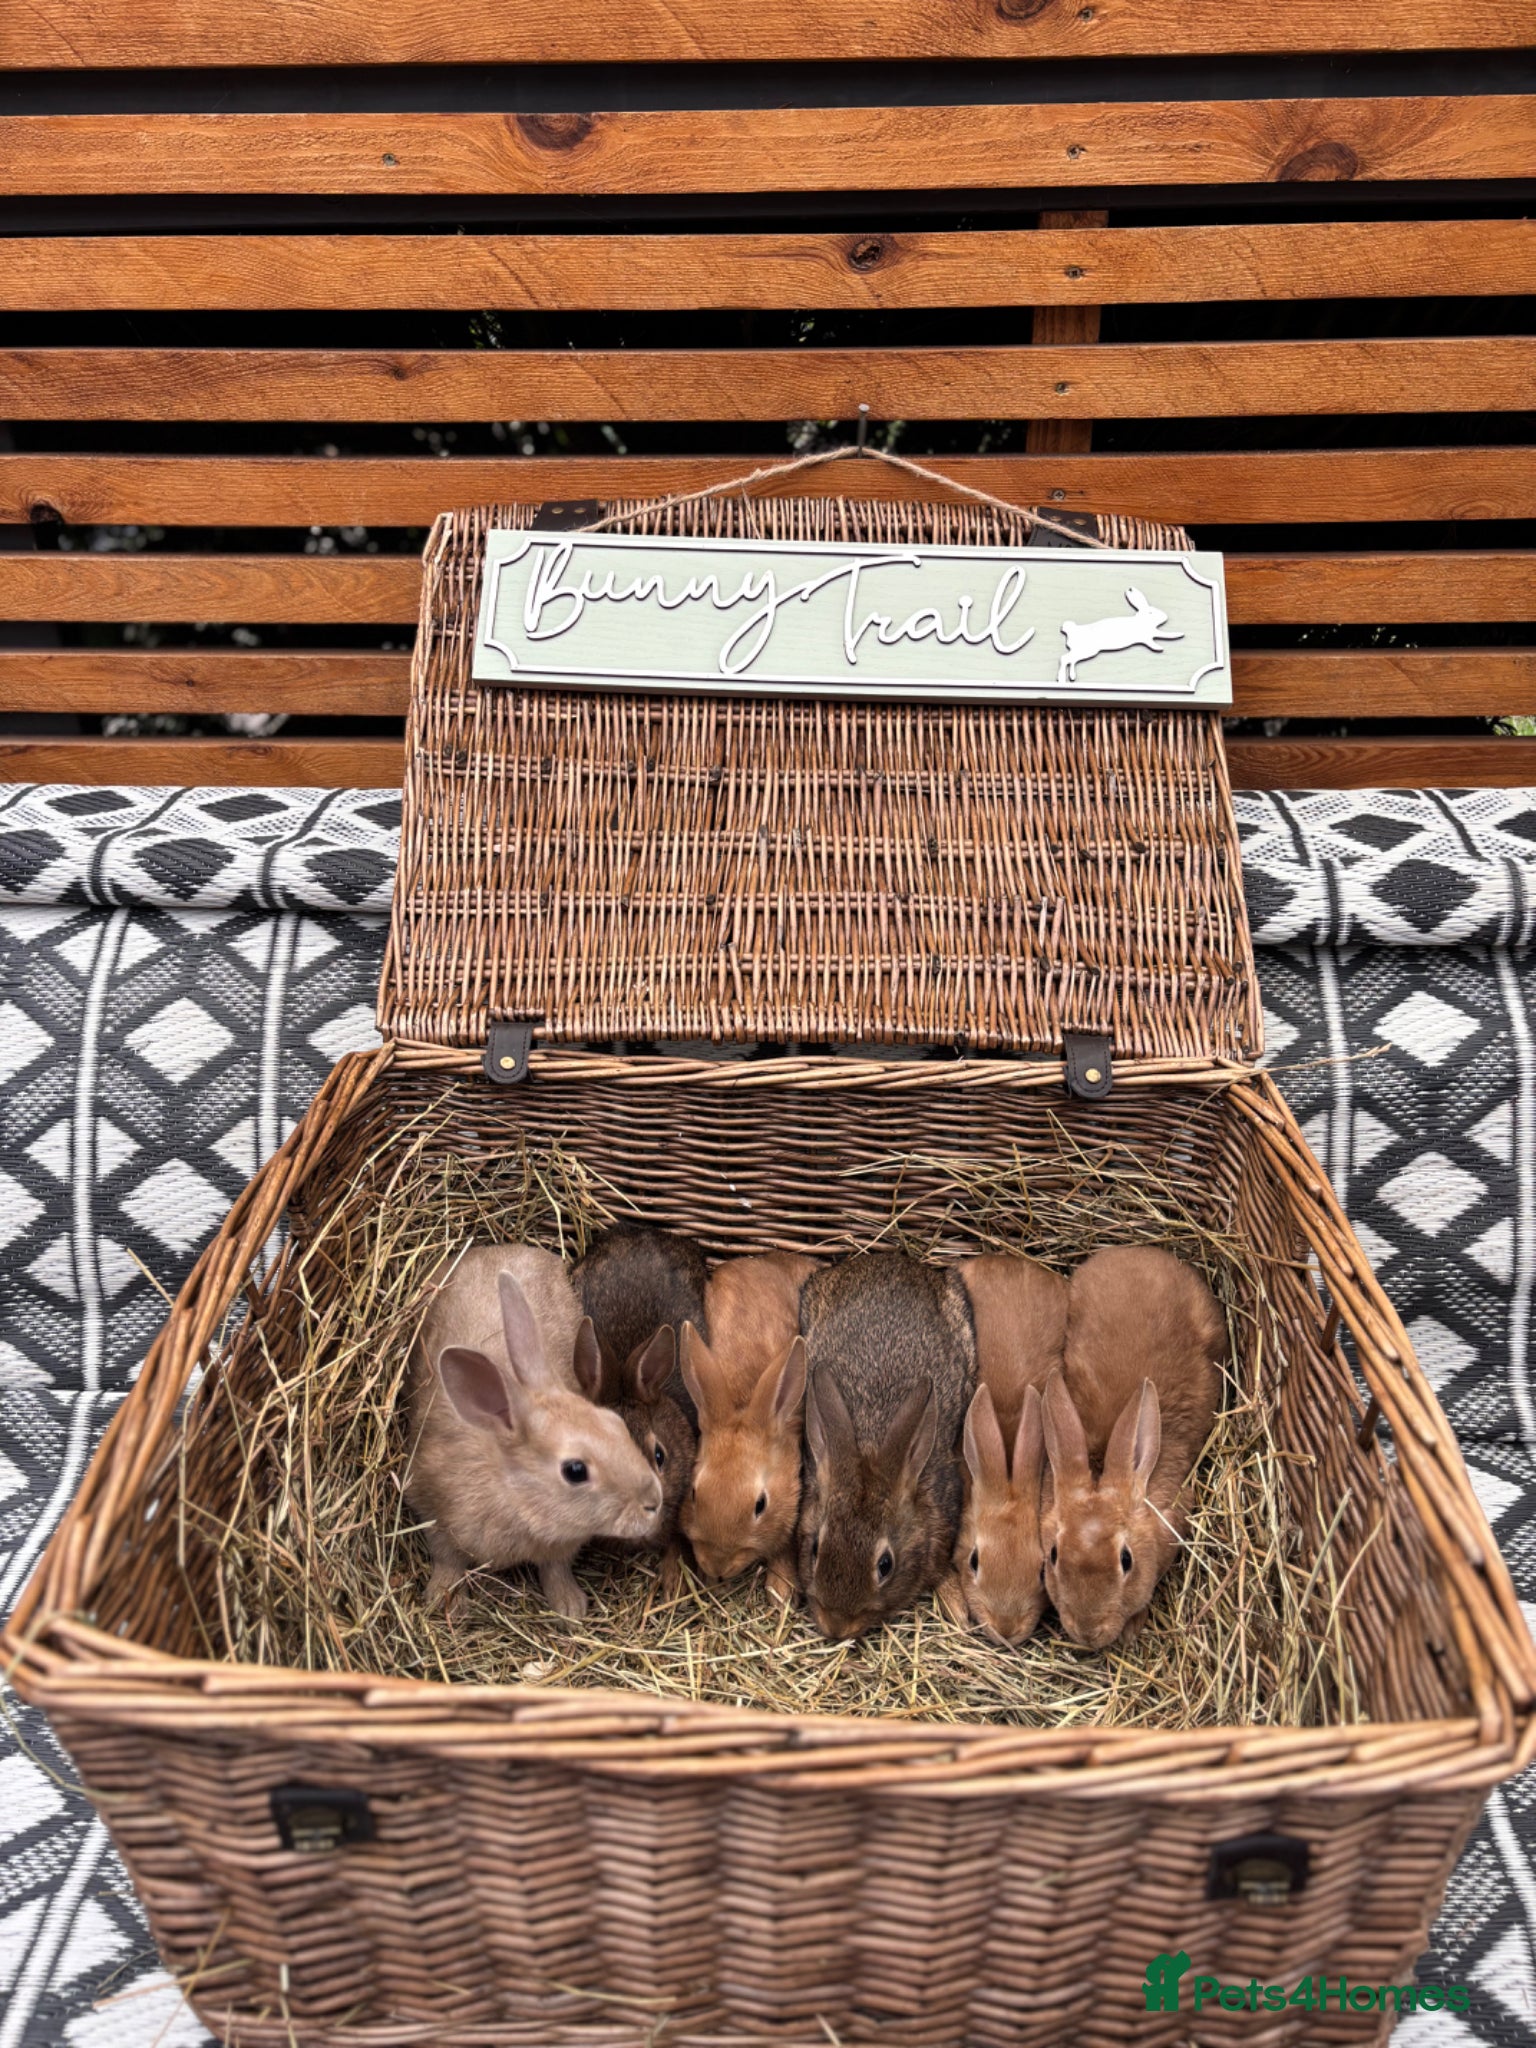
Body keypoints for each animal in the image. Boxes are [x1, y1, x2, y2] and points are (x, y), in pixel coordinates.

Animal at [405, 1244, 663, 1619]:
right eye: (575, 1470)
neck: (516, 1498)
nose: (653, 1501)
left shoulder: (560, 1547)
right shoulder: (433, 1512)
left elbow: (555, 1569)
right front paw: (443, 1599)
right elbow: (447, 1559)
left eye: (613, 1423)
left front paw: (570, 1607)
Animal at [796, 1254, 976, 1641]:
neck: (870, 1444)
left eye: (885, 1565)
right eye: (815, 1548)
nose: (836, 1625)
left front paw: (957, 1608)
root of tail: (895, 1258)